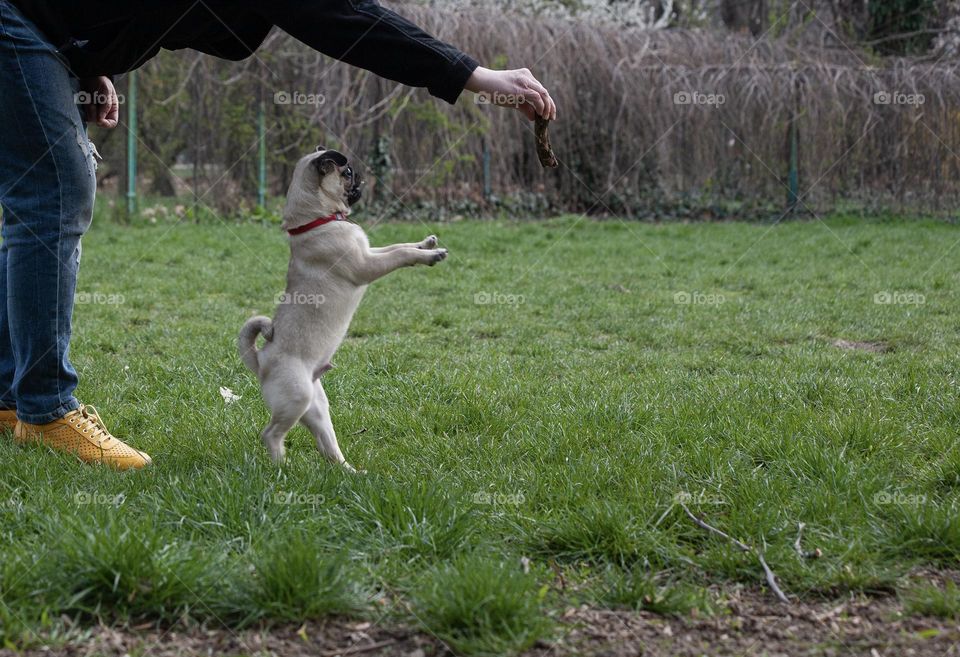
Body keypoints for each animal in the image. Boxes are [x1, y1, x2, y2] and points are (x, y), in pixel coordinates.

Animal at [240, 149, 450, 466]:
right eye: (346, 172)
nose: (362, 174)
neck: (318, 218)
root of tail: (261, 359)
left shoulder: (370, 251)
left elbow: (398, 245)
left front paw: (426, 243)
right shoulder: (366, 264)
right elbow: (400, 254)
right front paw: (430, 255)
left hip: (317, 408)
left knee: (327, 445)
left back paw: (347, 470)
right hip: (297, 398)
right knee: (271, 433)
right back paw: (281, 465)